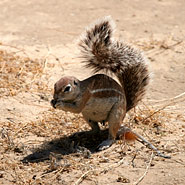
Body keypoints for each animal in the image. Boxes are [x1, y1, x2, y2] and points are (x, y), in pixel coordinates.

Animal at [51, 16, 150, 150]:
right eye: (55, 85)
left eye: (67, 88)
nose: (55, 97)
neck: (80, 89)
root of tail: (126, 109)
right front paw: (52, 102)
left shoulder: (85, 97)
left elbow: (76, 108)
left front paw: (60, 104)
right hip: (88, 116)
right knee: (96, 130)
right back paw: (83, 133)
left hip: (115, 115)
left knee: (112, 134)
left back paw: (105, 143)